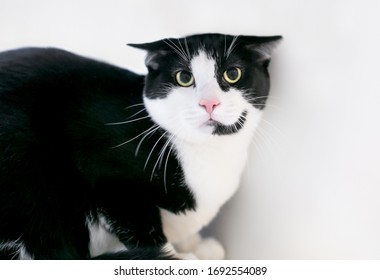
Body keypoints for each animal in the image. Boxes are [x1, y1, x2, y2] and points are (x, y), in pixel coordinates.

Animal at [0, 33, 280, 260]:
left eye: (232, 74)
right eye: (184, 77)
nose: (209, 103)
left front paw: (197, 247)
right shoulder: (109, 177)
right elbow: (147, 234)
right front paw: (181, 258)